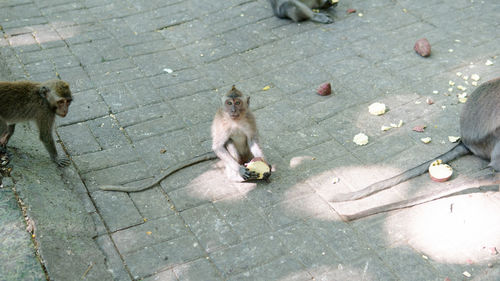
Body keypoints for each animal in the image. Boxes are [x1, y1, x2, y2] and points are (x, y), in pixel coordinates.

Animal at [98, 84, 270, 191]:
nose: (233, 109)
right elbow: (218, 146)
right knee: (229, 144)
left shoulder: (250, 118)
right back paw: (236, 175)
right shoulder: (223, 122)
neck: (236, 120)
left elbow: (252, 140)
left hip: (247, 155)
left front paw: (265, 163)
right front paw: (240, 170)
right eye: (229, 103)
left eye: (238, 102)